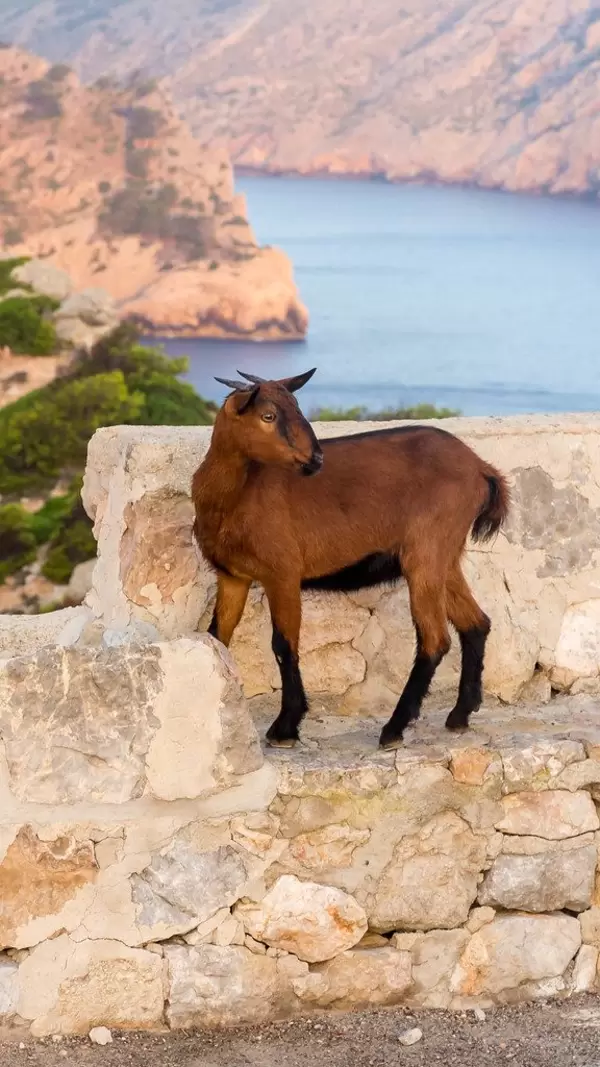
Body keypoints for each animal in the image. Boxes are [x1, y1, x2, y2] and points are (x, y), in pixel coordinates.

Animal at [192, 370, 510, 750]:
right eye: (268, 415)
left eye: (296, 406)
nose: (316, 459)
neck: (235, 497)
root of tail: (481, 468)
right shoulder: (232, 576)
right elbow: (217, 637)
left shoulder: (282, 574)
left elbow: (284, 645)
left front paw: (285, 727)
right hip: (444, 557)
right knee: (476, 623)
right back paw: (460, 714)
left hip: (425, 554)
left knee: (435, 639)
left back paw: (394, 728)